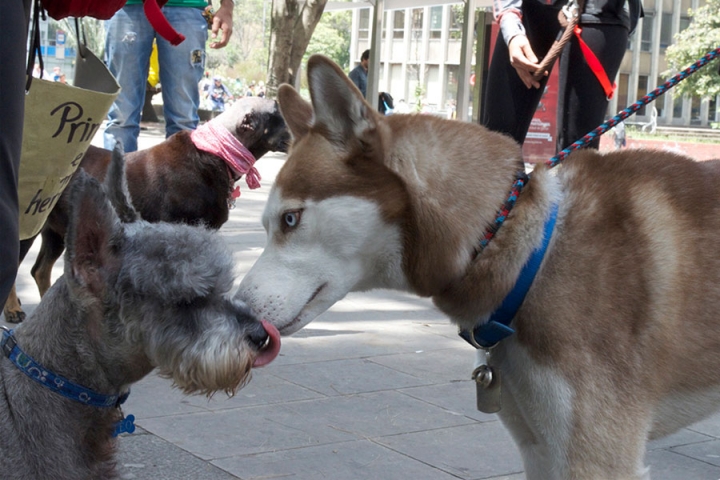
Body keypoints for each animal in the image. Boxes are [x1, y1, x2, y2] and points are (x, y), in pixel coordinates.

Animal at [236, 54, 720, 478]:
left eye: (291, 219)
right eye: (266, 225)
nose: (238, 316)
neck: (527, 250)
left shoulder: (595, 457)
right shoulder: (541, 448)